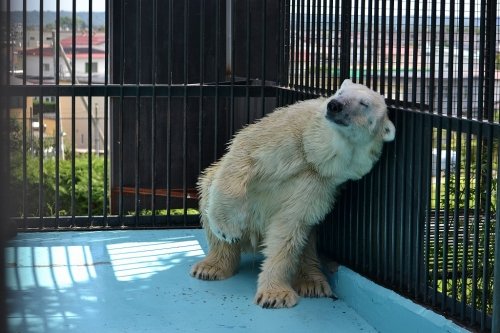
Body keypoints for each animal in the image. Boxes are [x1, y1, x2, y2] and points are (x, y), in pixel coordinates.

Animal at [190, 79, 394, 308]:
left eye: (364, 103)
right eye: (340, 92)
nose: (334, 105)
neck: (315, 156)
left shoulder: (319, 184)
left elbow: (289, 228)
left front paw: (275, 295)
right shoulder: (288, 131)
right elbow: (243, 154)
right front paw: (227, 228)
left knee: (306, 245)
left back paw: (312, 283)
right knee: (209, 186)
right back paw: (210, 267)